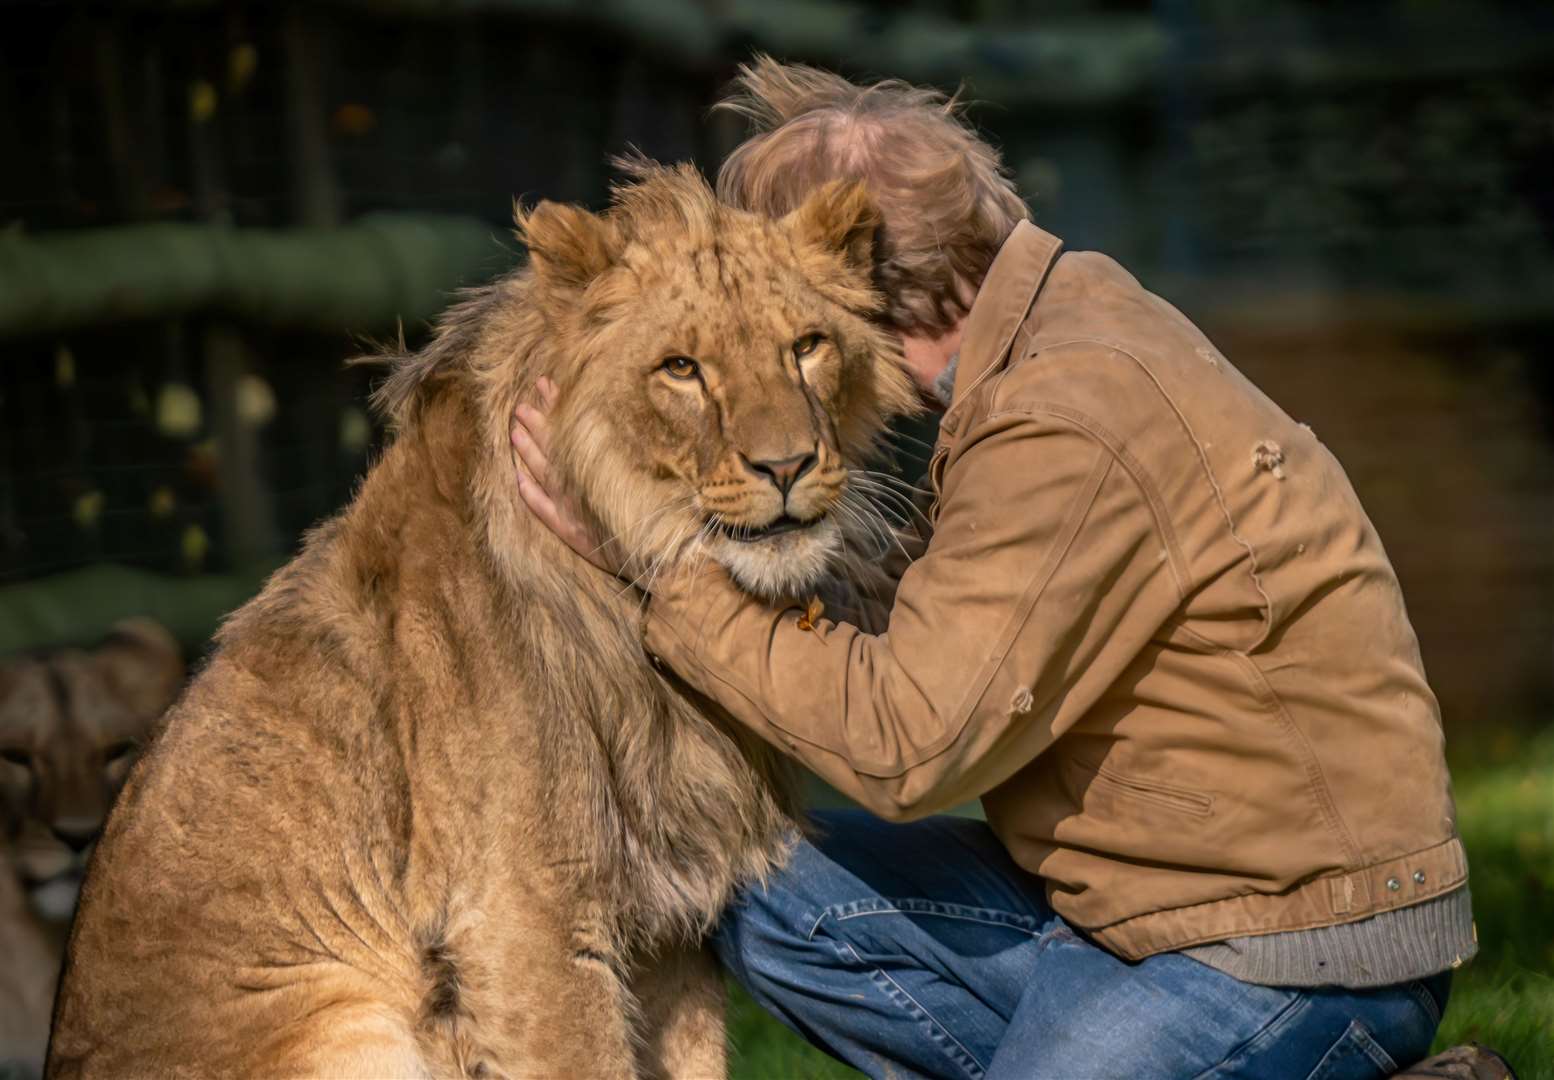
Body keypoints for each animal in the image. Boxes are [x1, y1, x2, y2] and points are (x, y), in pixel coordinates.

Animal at [51, 162, 919, 1080]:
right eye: (681, 368)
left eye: (807, 346)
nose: (786, 465)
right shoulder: (525, 922)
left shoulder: (672, 928)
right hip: (353, 1021)